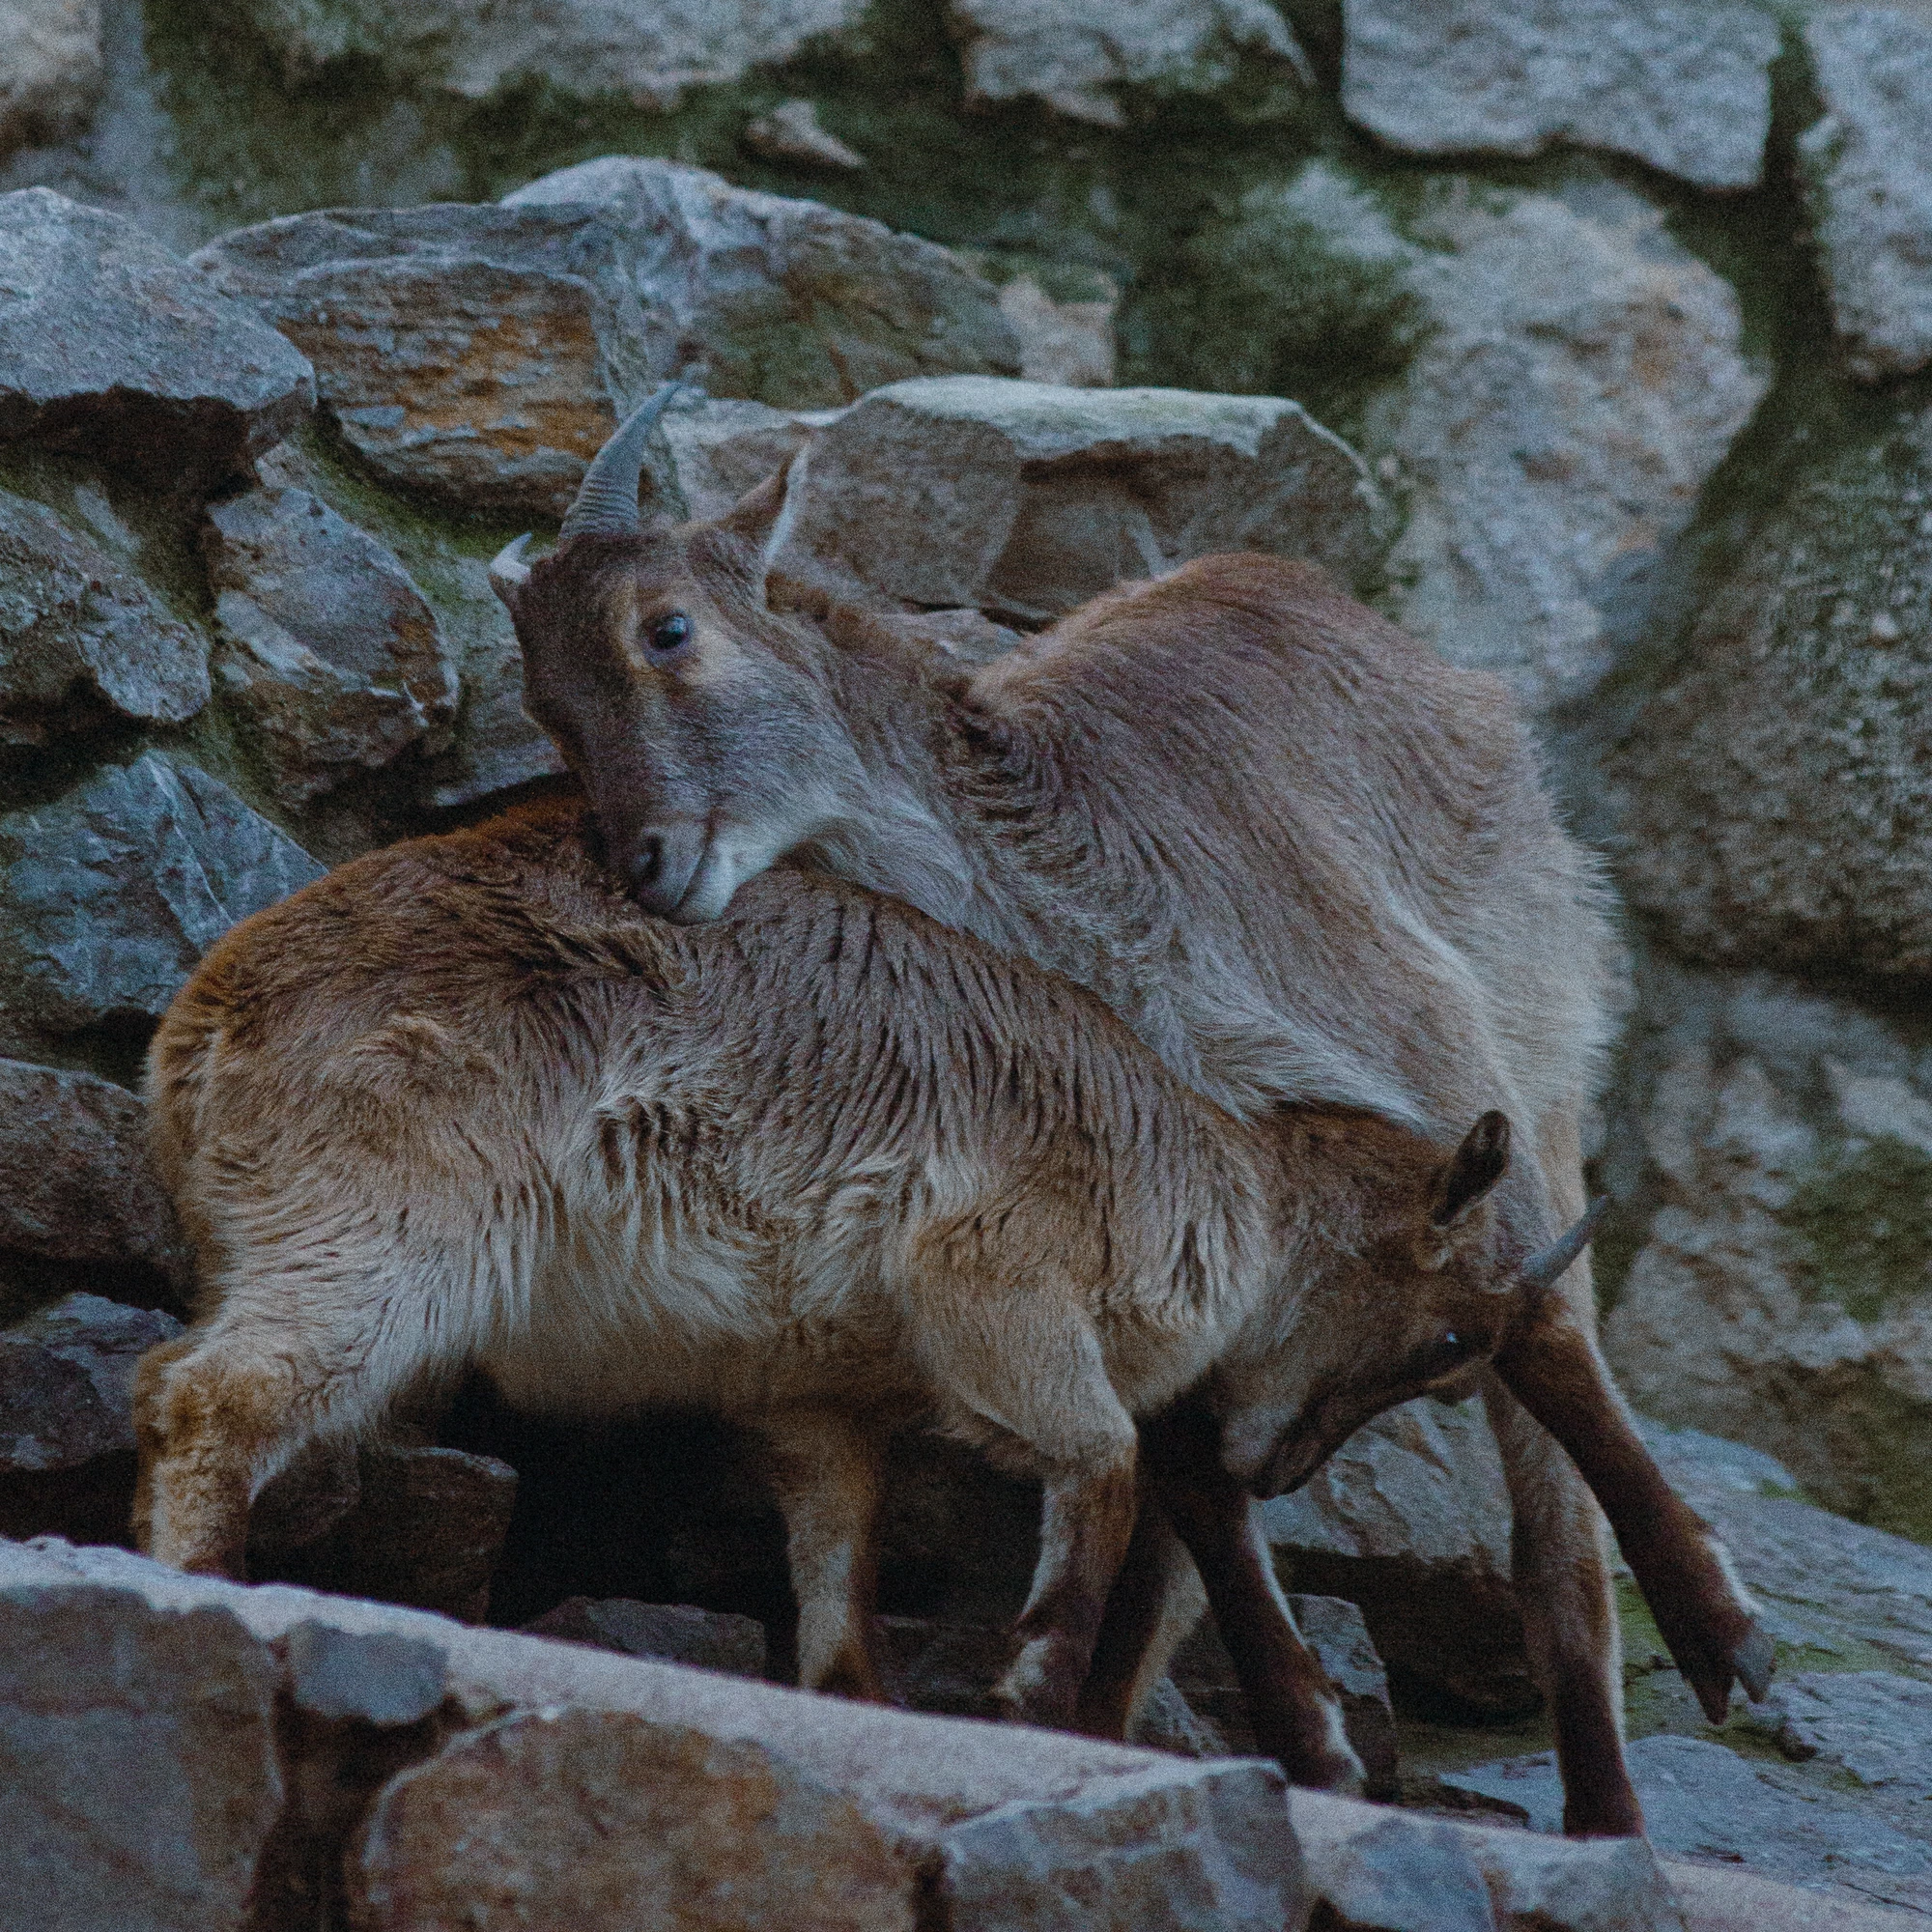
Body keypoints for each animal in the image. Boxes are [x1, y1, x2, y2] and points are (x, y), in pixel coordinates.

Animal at [132, 799, 1603, 1756]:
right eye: (1449, 1342)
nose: (1278, 1470)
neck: (1218, 1183)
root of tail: (203, 1026)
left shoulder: (816, 1399)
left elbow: (840, 1562)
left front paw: (868, 1693)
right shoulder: (999, 1275)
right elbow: (1104, 1455)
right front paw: (1032, 1685)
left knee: (167, 1374)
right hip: (389, 1226)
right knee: (212, 1390)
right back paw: (210, 1578)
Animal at [481, 389, 1774, 1835]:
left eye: (667, 628)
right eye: (543, 699)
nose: (644, 862)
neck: (1095, 900)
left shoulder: (1440, 1063)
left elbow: (1529, 1326)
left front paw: (1727, 1636)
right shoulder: (1180, 1196)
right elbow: (1186, 1450)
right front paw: (1299, 1731)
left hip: (1547, 1054)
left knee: (1553, 1487)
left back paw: (1613, 1795)